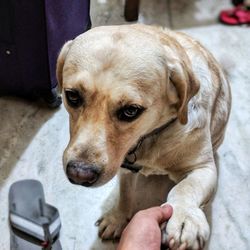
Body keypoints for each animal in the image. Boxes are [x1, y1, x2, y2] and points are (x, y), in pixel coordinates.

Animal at [56, 23, 230, 250]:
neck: (150, 137)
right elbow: (125, 194)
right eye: (72, 96)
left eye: (131, 111)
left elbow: (185, 187)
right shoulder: (123, 168)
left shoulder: (204, 168)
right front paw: (117, 218)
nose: (79, 174)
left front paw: (184, 217)